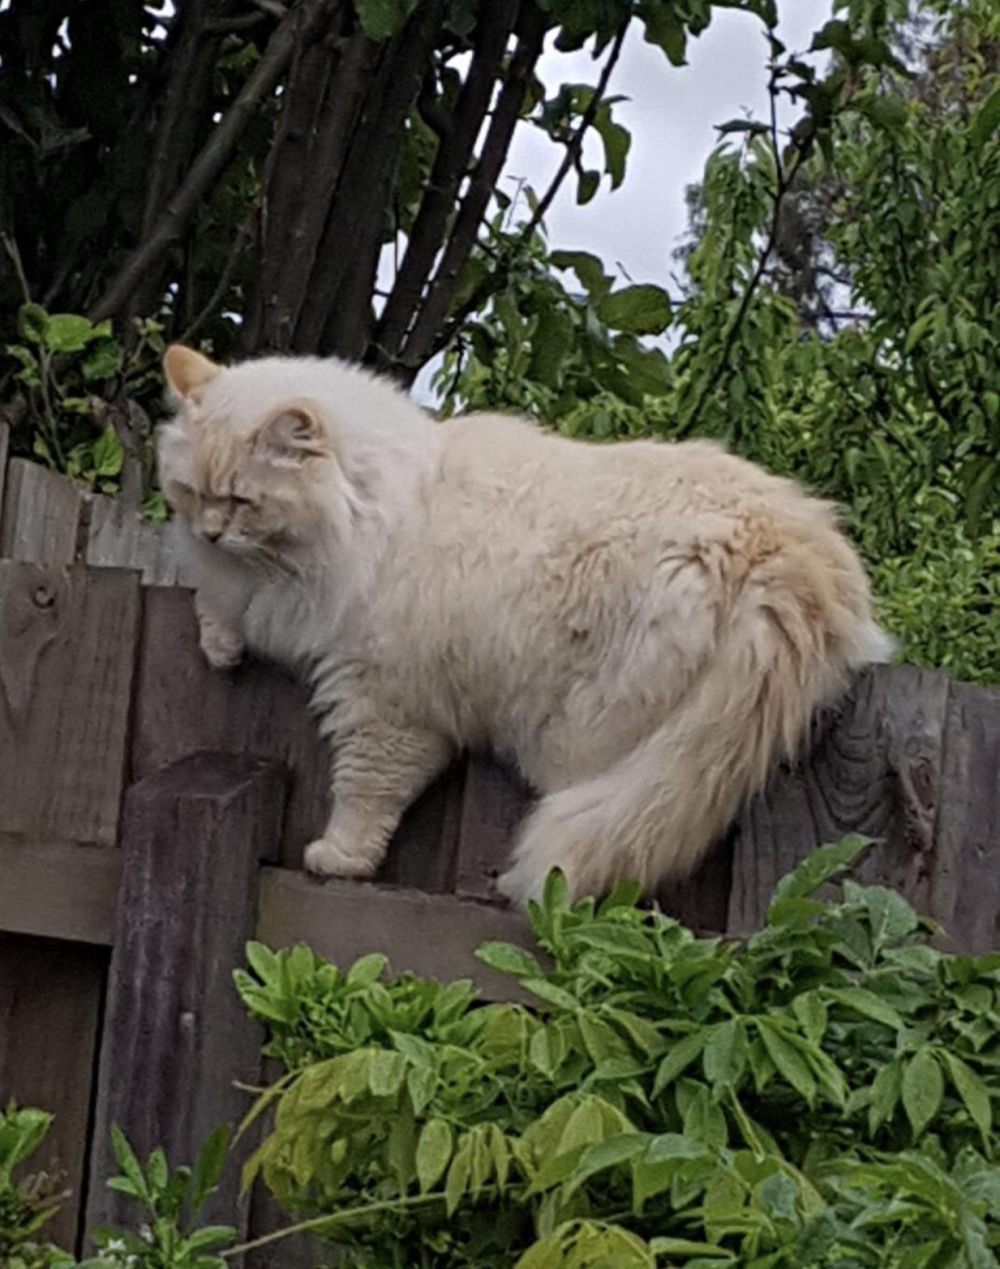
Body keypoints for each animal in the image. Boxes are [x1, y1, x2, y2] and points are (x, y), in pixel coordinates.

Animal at [159, 345, 893, 903]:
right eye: (192, 493)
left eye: (242, 500)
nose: (210, 532)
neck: (369, 506)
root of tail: (787, 545)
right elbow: (213, 599)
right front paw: (219, 642)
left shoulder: (381, 701)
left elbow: (365, 790)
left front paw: (340, 857)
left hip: (590, 730)